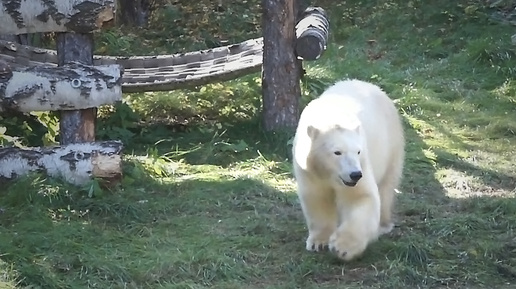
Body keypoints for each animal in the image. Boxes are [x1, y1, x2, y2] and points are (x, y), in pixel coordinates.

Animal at [292, 79, 406, 260]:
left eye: (357, 151)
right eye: (337, 152)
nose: (355, 175)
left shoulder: (363, 162)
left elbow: (360, 197)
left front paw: (342, 247)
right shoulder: (308, 170)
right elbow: (317, 198)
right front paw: (318, 242)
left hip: (391, 144)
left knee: (386, 186)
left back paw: (383, 225)